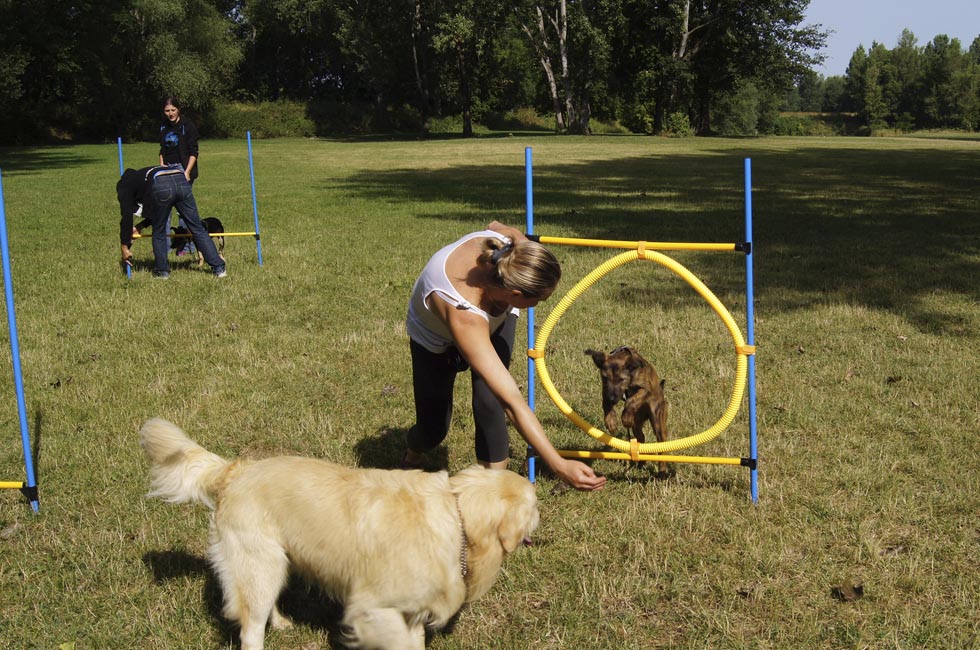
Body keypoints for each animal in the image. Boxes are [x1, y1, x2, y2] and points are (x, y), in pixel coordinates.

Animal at [584, 346, 668, 474]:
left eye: (621, 379)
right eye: (605, 378)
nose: (612, 399)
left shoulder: (645, 389)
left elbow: (632, 400)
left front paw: (625, 417)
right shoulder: (605, 390)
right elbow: (605, 404)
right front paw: (611, 422)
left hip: (657, 419)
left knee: (661, 443)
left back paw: (662, 470)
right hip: (637, 424)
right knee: (641, 438)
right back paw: (641, 463)